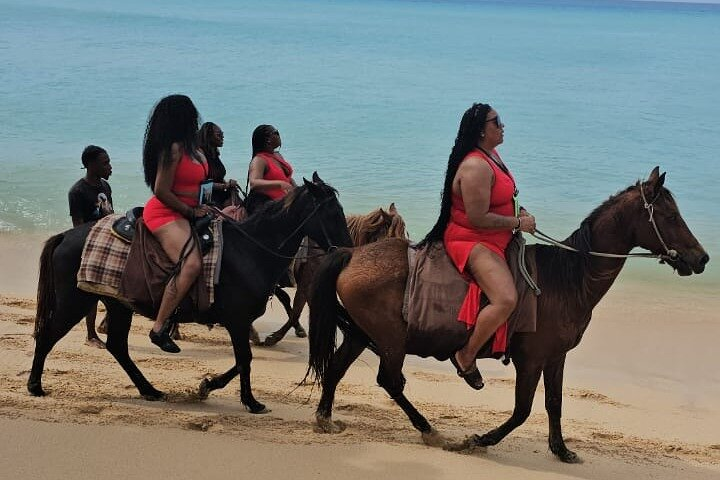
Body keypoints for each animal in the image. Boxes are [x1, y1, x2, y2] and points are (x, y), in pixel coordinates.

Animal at [28, 174, 352, 414]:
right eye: (332, 212)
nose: (349, 247)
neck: (250, 250)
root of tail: (66, 236)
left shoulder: (239, 321)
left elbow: (241, 360)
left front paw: (208, 386)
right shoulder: (236, 320)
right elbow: (245, 359)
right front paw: (250, 401)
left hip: (118, 305)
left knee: (118, 347)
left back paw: (149, 390)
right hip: (76, 301)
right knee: (48, 334)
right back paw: (35, 386)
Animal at [306, 168, 708, 462]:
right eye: (669, 215)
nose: (702, 258)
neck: (568, 280)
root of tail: (352, 253)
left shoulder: (555, 357)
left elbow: (554, 404)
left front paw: (561, 450)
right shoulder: (531, 359)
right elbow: (522, 410)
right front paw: (478, 440)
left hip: (361, 333)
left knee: (338, 368)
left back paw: (325, 418)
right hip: (390, 340)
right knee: (390, 380)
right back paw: (429, 429)